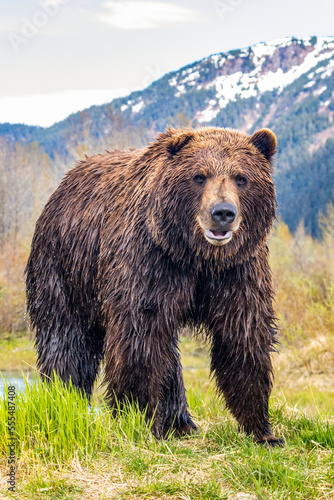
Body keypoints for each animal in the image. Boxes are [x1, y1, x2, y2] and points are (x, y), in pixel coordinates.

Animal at [24, 125, 284, 446]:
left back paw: (179, 423)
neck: (197, 257)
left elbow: (243, 335)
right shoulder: (150, 262)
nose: (223, 212)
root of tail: (63, 184)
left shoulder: (236, 271)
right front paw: (136, 417)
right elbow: (140, 337)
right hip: (64, 269)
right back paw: (65, 399)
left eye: (241, 177)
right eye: (199, 176)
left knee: (168, 353)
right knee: (66, 338)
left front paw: (262, 430)